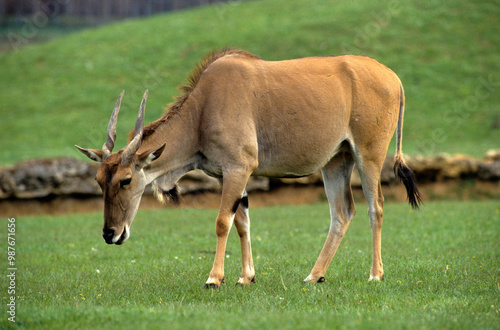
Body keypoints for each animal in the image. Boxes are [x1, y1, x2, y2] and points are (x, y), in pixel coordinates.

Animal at [77, 47, 422, 288]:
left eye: (125, 180)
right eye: (99, 180)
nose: (110, 233)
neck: (203, 109)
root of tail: (394, 78)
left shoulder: (238, 168)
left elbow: (222, 222)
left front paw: (214, 278)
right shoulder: (228, 175)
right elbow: (242, 221)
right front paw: (246, 277)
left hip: (369, 155)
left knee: (375, 207)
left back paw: (375, 275)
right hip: (336, 161)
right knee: (342, 212)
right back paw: (315, 275)